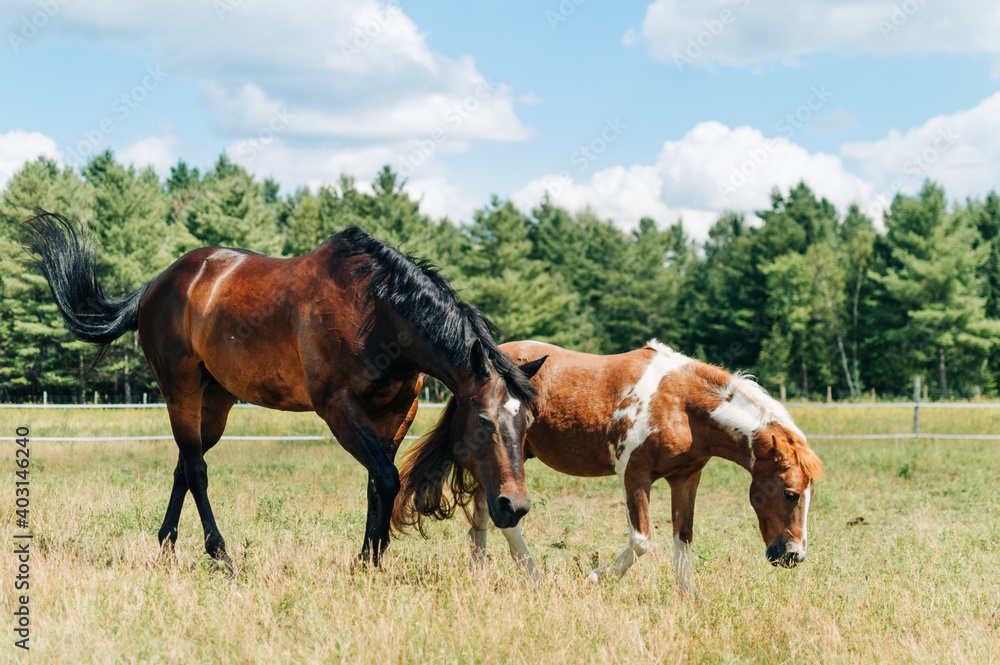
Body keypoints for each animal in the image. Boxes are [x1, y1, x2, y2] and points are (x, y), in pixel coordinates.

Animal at [22, 211, 546, 568]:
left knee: (183, 465)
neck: (378, 311)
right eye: (484, 421)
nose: (514, 507)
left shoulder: (397, 412)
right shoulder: (339, 409)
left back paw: (167, 545)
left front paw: (370, 559)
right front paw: (370, 559)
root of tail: (156, 284)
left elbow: (379, 481)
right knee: (196, 470)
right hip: (180, 391)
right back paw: (220, 555)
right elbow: (386, 478)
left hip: (216, 401)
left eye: (528, 423)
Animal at [393, 339, 823, 591]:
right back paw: (533, 577)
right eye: (790, 493)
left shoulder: (686, 478)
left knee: (485, 512)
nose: (793, 556)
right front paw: (594, 577)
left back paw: (482, 574)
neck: (681, 404)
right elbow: (642, 540)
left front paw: (687, 596)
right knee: (504, 518)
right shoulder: (635, 476)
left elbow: (683, 537)